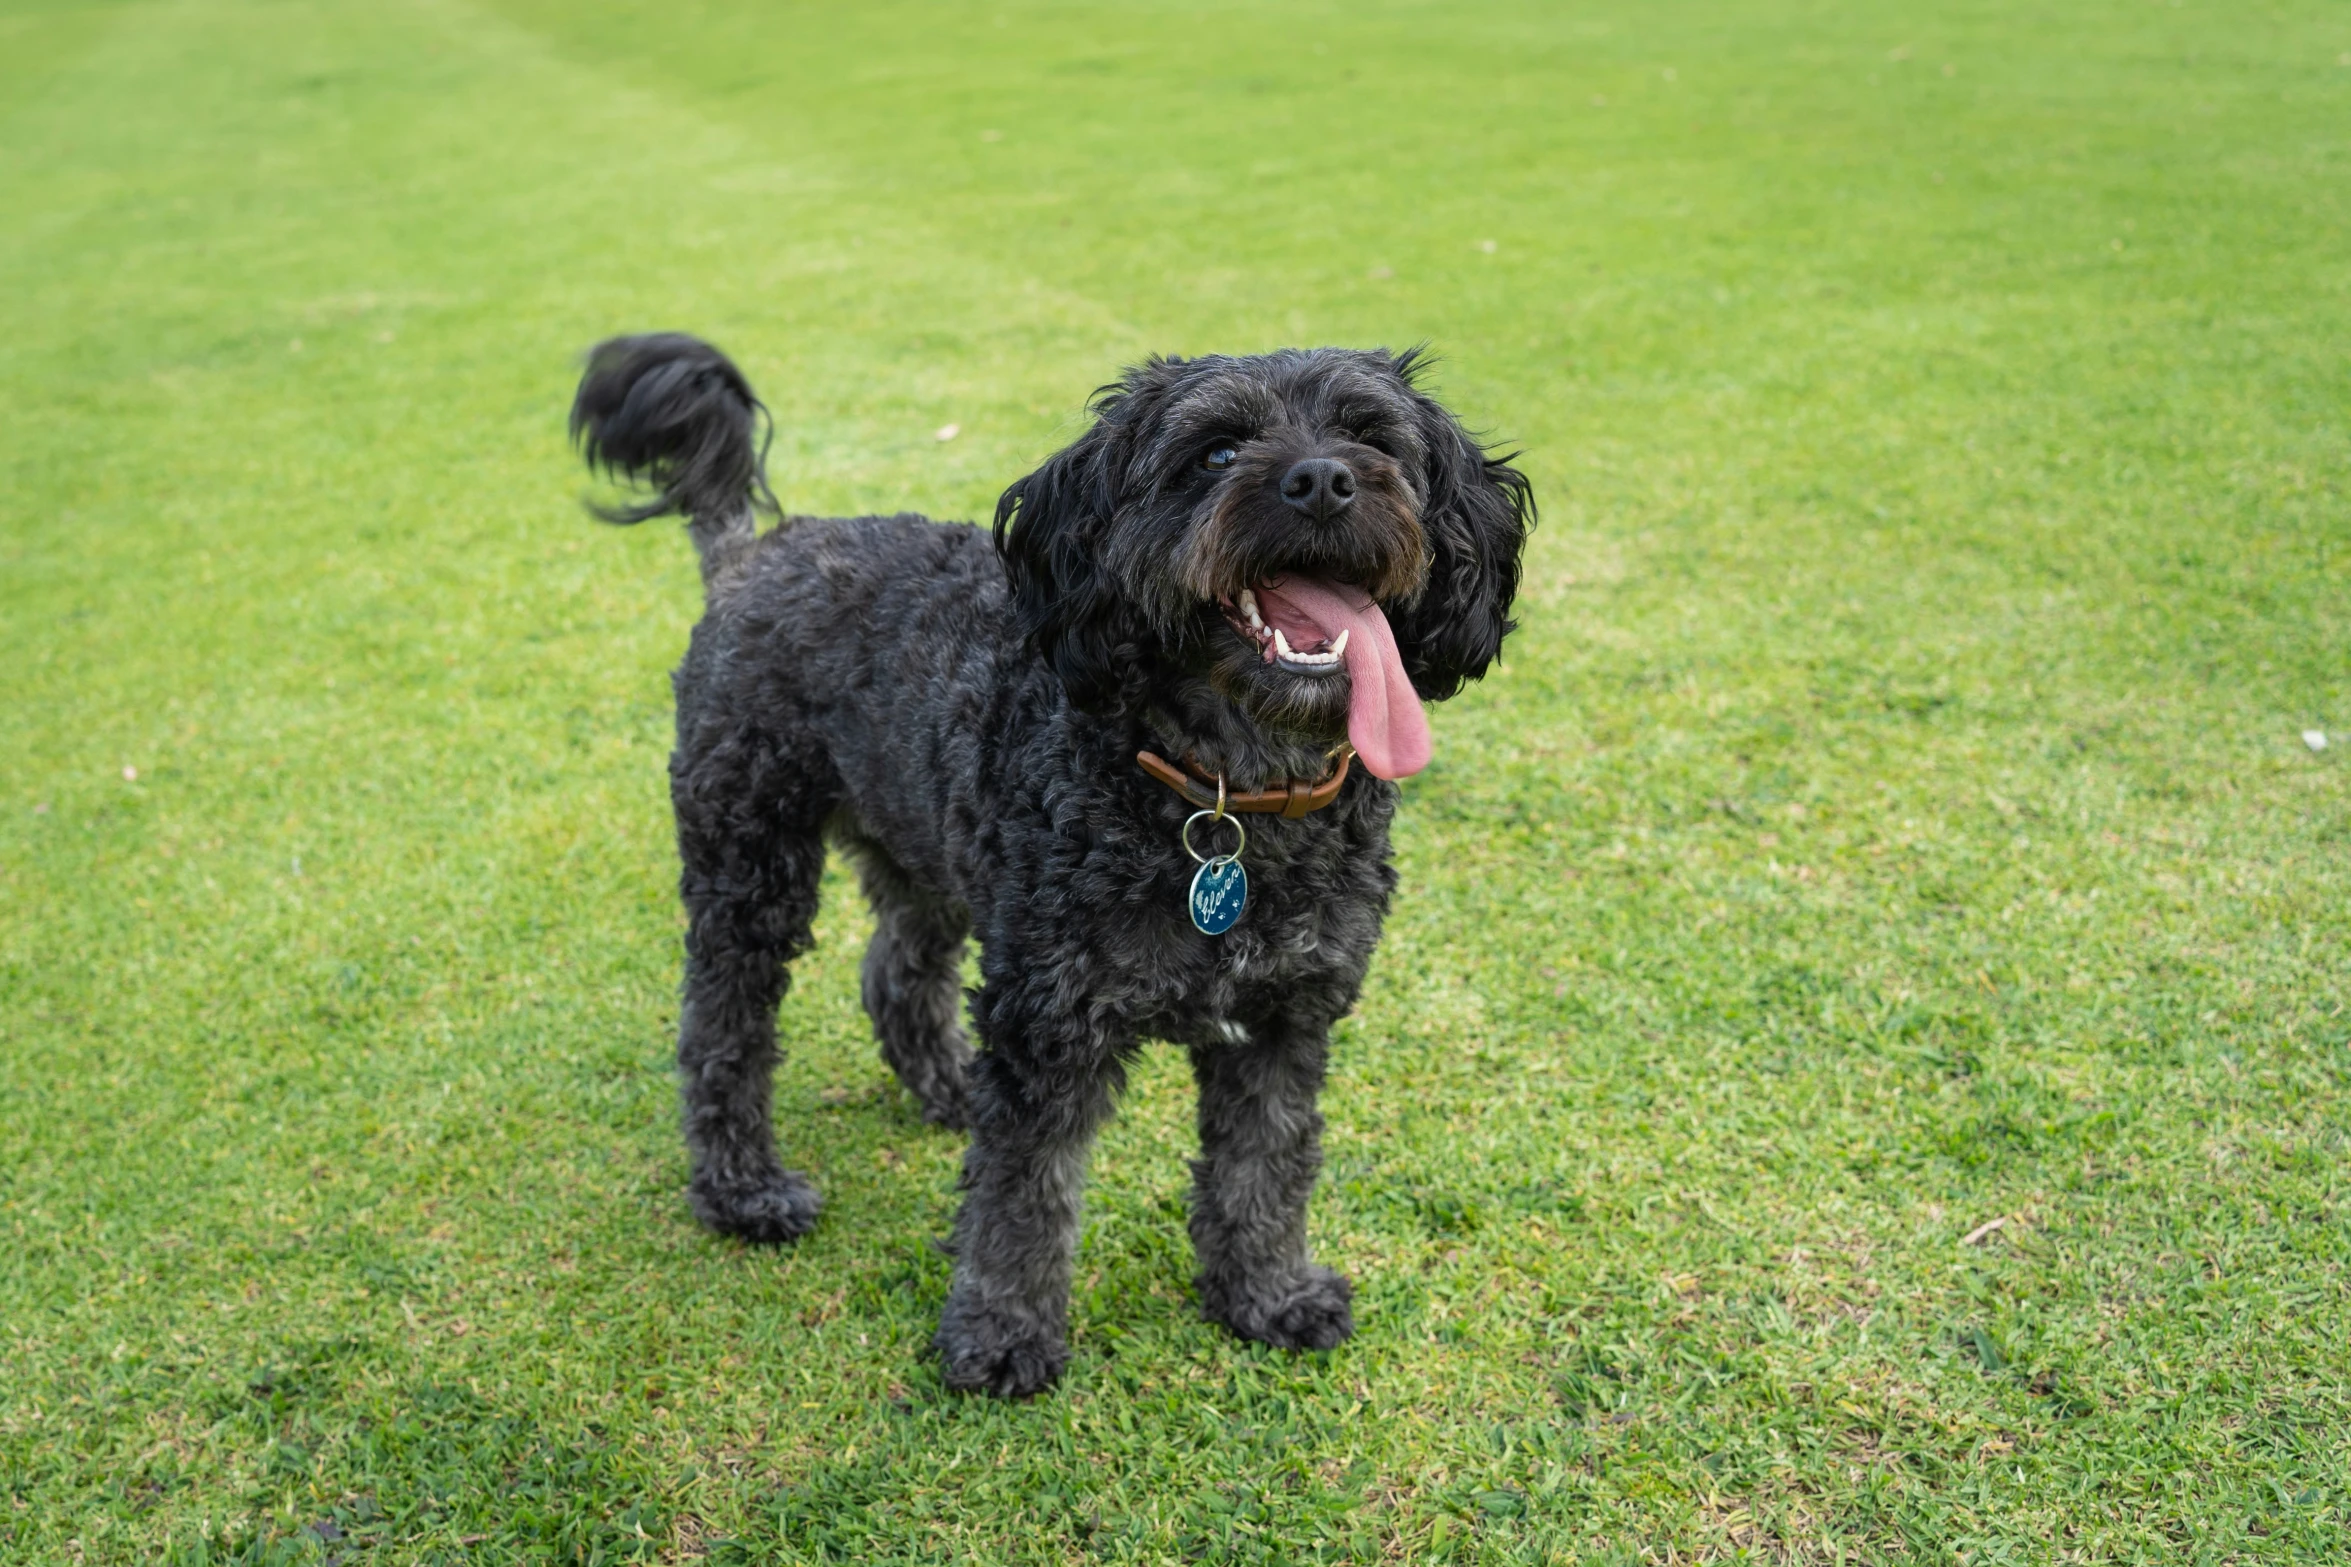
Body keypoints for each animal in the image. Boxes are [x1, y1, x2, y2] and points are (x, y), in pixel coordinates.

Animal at [561, 333, 1532, 1400]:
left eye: (1372, 438)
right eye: (1216, 452)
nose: (1322, 481)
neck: (1223, 795)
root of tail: (754, 552)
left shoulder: (1284, 1016)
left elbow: (1265, 1167)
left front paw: (1267, 1295)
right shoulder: (1048, 1019)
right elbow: (1024, 1194)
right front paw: (1000, 1335)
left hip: (924, 845)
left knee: (897, 970)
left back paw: (947, 1088)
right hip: (750, 855)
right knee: (723, 1025)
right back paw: (744, 1192)